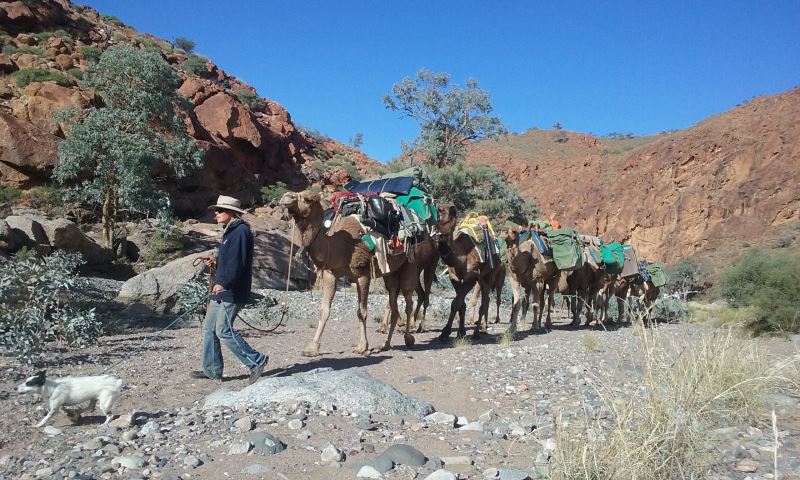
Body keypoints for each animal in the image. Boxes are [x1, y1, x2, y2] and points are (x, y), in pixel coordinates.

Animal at [278, 191, 422, 356]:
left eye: (307, 199)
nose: (285, 197)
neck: (340, 247)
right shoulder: (330, 274)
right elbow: (324, 310)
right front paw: (312, 348)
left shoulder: (363, 275)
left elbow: (362, 312)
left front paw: (362, 347)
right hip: (391, 273)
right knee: (394, 301)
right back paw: (385, 345)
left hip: (410, 264)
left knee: (408, 301)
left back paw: (408, 338)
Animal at [434, 204, 504, 340]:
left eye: (446, 216)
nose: (436, 231)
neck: (460, 256)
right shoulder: (454, 277)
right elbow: (461, 304)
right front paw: (460, 332)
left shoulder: (471, 277)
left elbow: (456, 302)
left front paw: (445, 332)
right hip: (481, 279)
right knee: (486, 300)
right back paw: (482, 328)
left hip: (491, 274)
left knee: (484, 302)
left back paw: (477, 332)